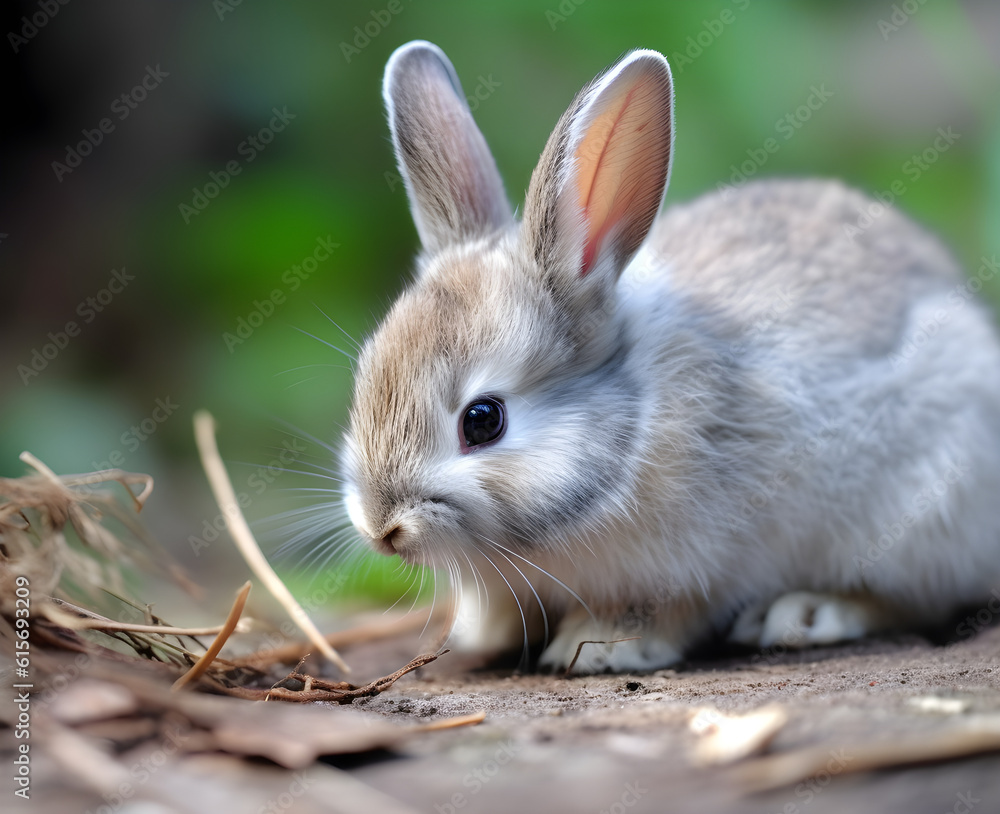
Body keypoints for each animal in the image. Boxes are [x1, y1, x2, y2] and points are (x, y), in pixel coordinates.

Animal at [339, 40, 1000, 674]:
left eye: (482, 420)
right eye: (364, 379)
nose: (382, 527)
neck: (628, 431)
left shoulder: (701, 561)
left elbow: (668, 610)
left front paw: (599, 649)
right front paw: (483, 636)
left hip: (924, 512)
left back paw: (804, 614)